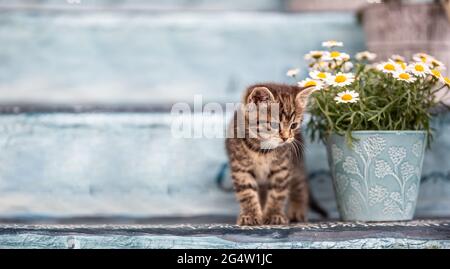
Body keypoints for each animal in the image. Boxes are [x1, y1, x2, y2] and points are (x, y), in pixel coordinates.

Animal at [225, 82, 324, 225]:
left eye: (293, 125)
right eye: (274, 125)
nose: (286, 138)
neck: (261, 150)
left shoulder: (282, 168)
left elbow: (278, 192)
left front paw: (273, 215)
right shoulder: (240, 168)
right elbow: (246, 192)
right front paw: (250, 215)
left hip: (297, 163)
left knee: (300, 184)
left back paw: (297, 209)